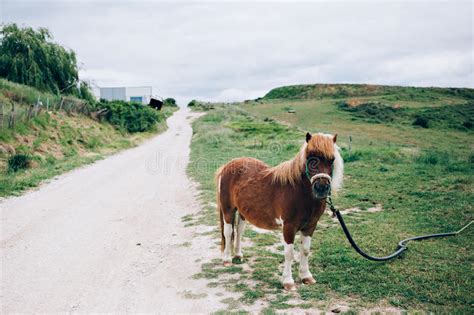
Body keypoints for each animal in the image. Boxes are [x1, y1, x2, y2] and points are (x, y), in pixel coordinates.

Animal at [216, 132, 344, 290]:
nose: (321, 188)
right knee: (228, 233)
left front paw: (306, 276)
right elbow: (289, 253)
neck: (299, 191)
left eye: (332, 160)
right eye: (310, 159)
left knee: (239, 231)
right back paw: (227, 259)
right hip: (228, 209)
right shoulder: (289, 226)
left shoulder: (310, 225)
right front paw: (288, 282)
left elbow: (305, 250)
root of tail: (227, 166)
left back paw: (238, 256)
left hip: (242, 212)